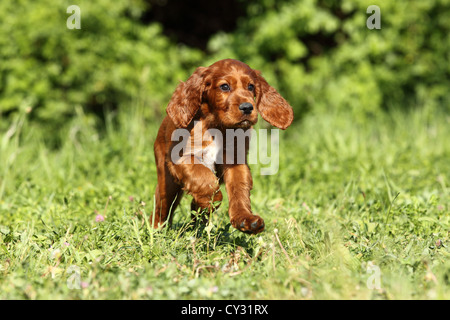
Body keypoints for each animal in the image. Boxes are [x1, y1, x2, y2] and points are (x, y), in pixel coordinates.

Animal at [152, 58, 292, 234]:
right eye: (225, 86)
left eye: (251, 86)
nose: (247, 107)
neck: (217, 127)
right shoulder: (180, 158)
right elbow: (204, 177)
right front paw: (213, 199)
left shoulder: (236, 162)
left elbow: (239, 190)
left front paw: (245, 219)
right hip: (167, 183)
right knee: (161, 208)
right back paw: (156, 231)